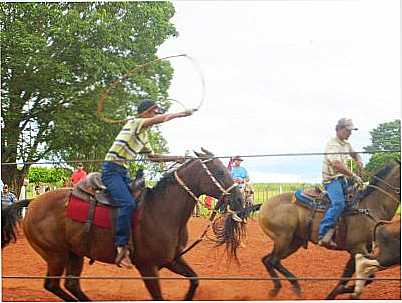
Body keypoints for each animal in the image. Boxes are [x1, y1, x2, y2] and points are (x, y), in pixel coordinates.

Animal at [3, 148, 248, 300]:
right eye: (219, 171)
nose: (239, 199)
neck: (161, 210)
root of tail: (33, 203)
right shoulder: (148, 267)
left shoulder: (173, 260)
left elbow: (194, 281)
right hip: (56, 255)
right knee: (52, 286)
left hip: (75, 253)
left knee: (71, 285)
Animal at [258, 163, 398, 300]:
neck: (370, 206)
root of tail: (264, 205)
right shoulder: (357, 248)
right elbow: (365, 276)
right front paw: (343, 293)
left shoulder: (360, 251)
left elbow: (350, 275)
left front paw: (334, 294)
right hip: (283, 238)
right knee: (273, 260)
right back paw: (295, 286)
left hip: (294, 242)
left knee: (268, 260)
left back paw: (276, 288)